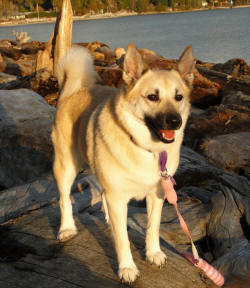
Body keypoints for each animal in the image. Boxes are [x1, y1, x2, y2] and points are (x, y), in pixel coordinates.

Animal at [51, 44, 194, 282]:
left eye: (179, 96)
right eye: (152, 96)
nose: (176, 121)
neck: (145, 147)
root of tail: (73, 91)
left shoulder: (157, 194)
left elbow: (153, 227)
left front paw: (153, 253)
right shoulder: (117, 195)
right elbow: (122, 240)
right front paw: (127, 267)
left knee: (101, 194)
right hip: (66, 167)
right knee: (64, 200)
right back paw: (67, 228)